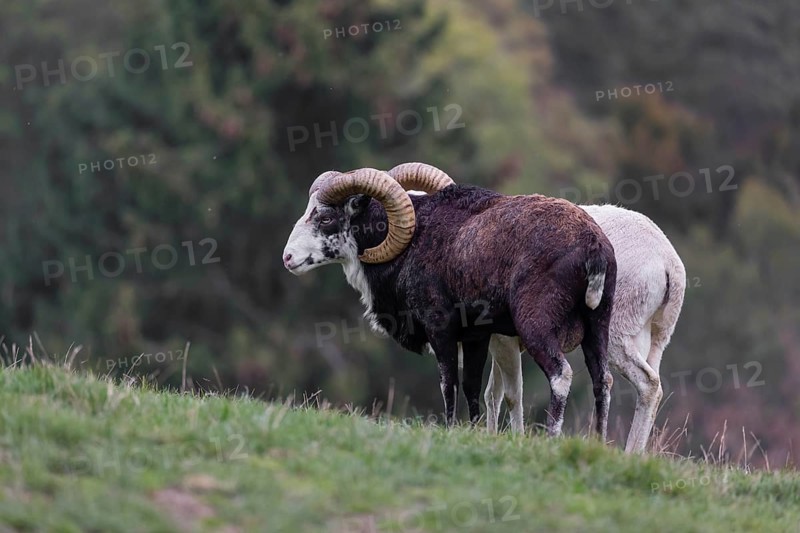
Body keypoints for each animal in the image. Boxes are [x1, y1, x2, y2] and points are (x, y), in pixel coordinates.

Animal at [283, 166, 617, 438]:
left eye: (326, 218)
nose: (288, 258)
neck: (415, 241)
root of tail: (593, 248)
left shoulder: (440, 328)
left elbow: (449, 383)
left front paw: (451, 428)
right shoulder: (476, 337)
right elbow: (471, 384)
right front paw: (474, 431)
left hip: (536, 326)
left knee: (561, 375)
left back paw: (552, 439)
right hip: (598, 325)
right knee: (602, 380)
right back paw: (598, 443)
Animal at [387, 164, 686, 453]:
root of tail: (669, 263)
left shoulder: (503, 342)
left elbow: (508, 394)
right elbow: (492, 393)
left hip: (615, 337)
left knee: (647, 384)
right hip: (654, 341)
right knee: (651, 388)